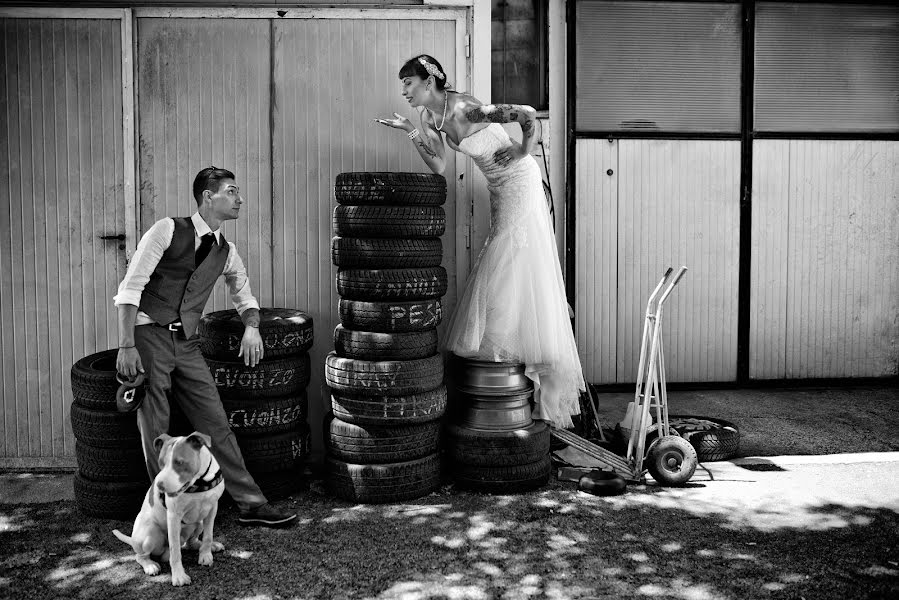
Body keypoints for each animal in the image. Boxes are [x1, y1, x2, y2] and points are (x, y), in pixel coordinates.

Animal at [113, 432, 225, 584]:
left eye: (179, 462)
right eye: (161, 462)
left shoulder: (212, 509)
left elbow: (208, 536)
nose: (159, 485)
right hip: (149, 535)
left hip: (199, 523)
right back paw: (150, 565)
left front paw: (206, 554)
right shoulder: (173, 516)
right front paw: (179, 576)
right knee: (141, 556)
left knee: (190, 543)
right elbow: (175, 551)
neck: (199, 482)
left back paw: (210, 545)